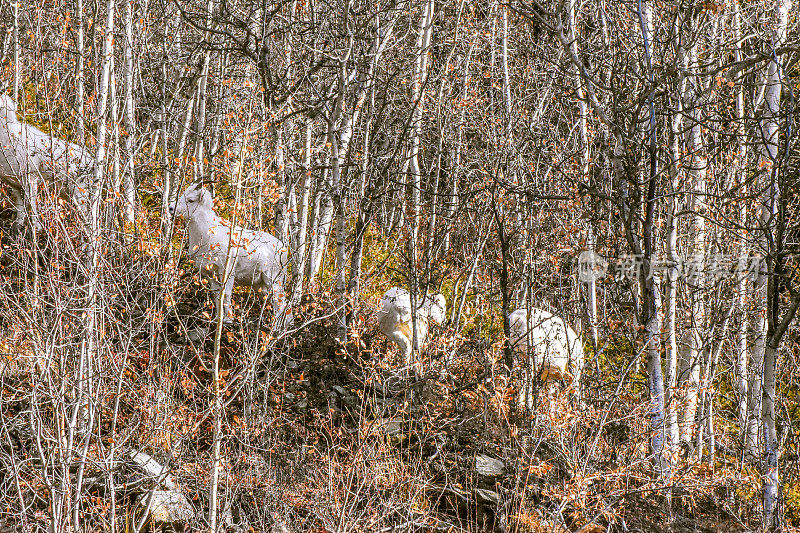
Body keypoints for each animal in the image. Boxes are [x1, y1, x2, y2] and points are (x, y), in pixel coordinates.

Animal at [0, 92, 91, 233]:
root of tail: (90, 160)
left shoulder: (30, 178)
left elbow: (31, 204)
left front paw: (36, 228)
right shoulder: (15, 184)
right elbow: (20, 207)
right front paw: (17, 228)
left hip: (79, 191)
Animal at [170, 181, 294, 326]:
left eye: (191, 200)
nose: (171, 208)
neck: (207, 236)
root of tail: (283, 250)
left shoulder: (227, 272)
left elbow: (227, 294)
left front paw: (228, 320)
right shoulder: (211, 275)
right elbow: (217, 296)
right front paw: (218, 319)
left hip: (273, 278)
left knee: (280, 300)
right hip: (261, 284)